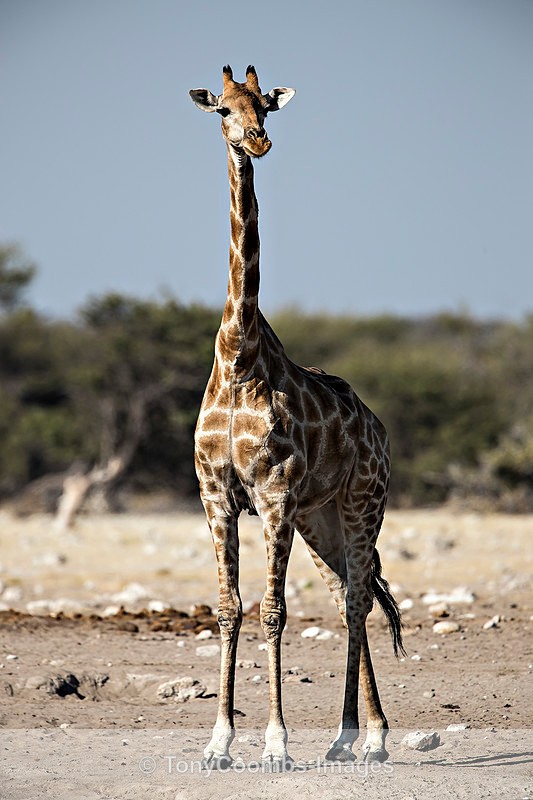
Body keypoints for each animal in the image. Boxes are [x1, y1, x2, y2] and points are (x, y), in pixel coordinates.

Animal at [189, 65, 404, 769]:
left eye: (265, 105)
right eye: (222, 109)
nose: (256, 141)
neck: (238, 356)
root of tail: (377, 427)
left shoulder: (274, 493)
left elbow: (273, 612)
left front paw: (276, 745)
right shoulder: (217, 495)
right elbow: (228, 609)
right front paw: (219, 743)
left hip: (362, 501)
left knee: (360, 598)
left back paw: (364, 738)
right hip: (322, 518)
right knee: (345, 595)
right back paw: (354, 737)